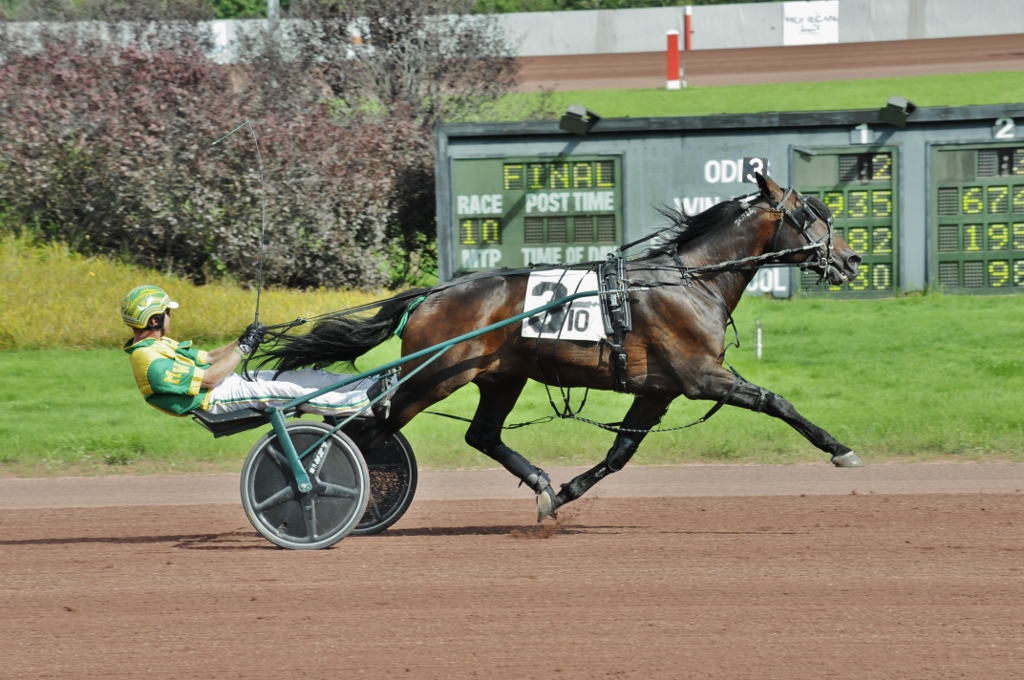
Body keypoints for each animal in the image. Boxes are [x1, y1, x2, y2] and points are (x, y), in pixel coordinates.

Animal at [258, 174, 864, 520]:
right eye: (811, 215)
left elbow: (620, 453)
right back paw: (315, 492)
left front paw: (565, 493)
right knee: (367, 430)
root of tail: (431, 294)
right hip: (435, 375)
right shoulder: (699, 376)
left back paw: (540, 484)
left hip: (500, 376)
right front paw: (840, 448)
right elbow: (776, 401)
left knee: (478, 435)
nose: (852, 258)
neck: (690, 281)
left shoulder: (659, 389)